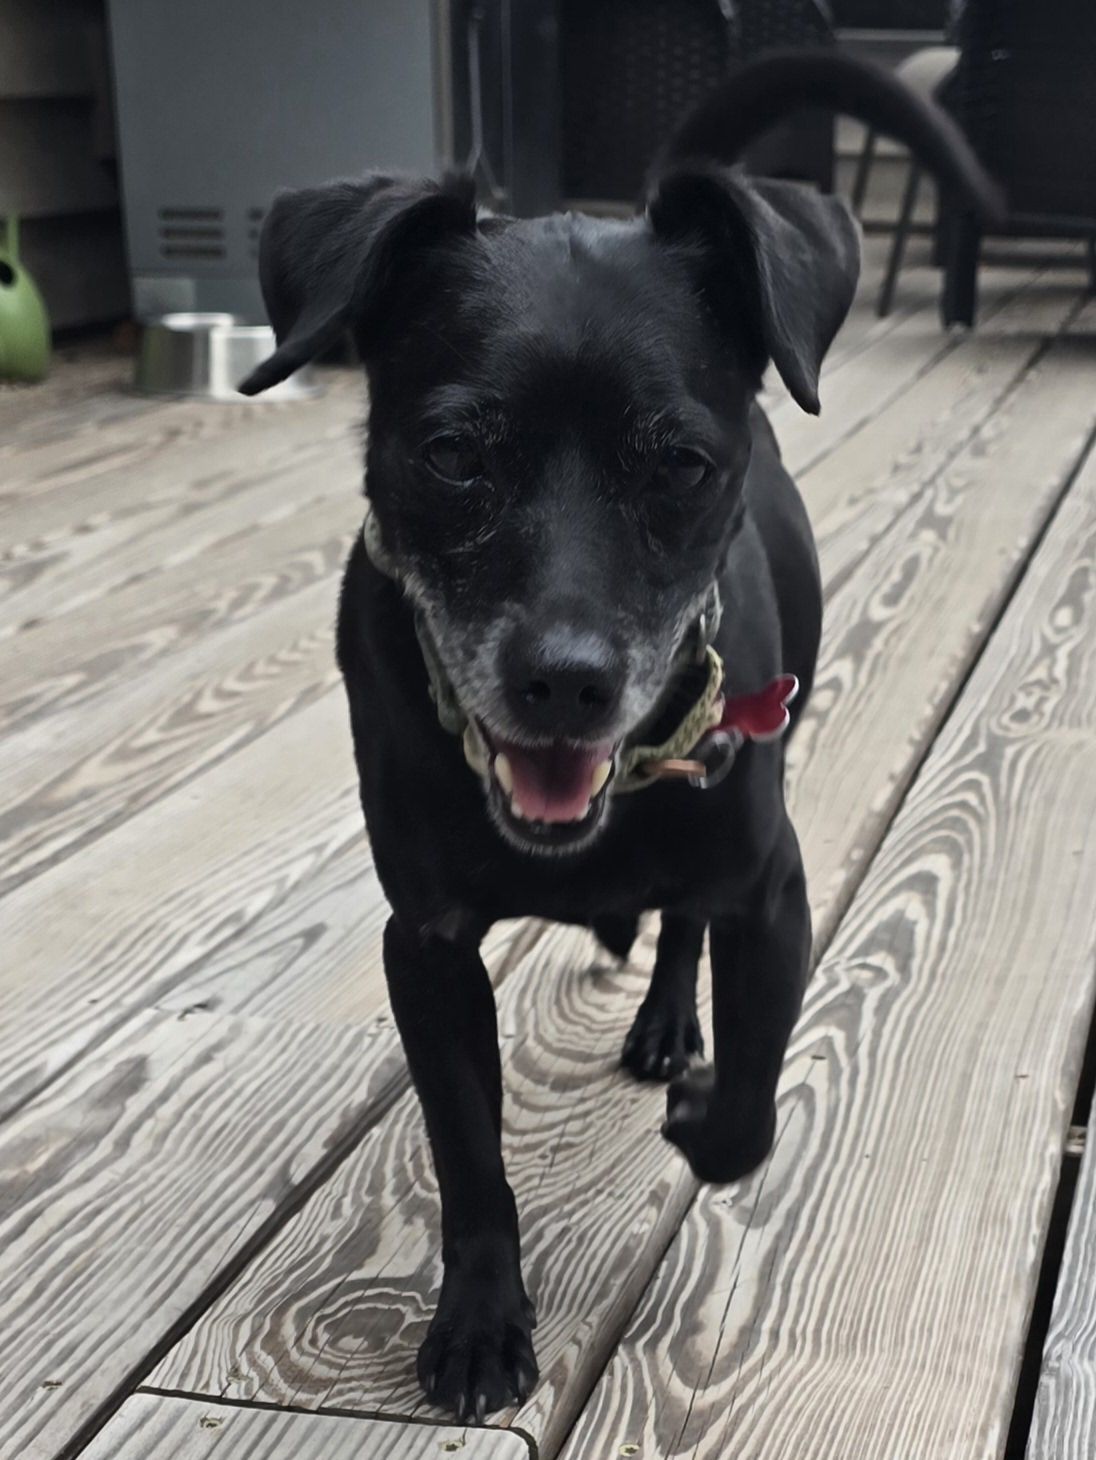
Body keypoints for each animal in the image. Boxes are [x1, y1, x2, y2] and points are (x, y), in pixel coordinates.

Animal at [242, 51, 1004, 1419]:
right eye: (451, 452)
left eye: (681, 462)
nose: (566, 681)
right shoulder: (425, 946)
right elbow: (469, 1156)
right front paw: (478, 1322)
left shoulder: (770, 890)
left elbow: (751, 1096)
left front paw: (706, 1108)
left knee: (679, 927)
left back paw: (664, 1025)